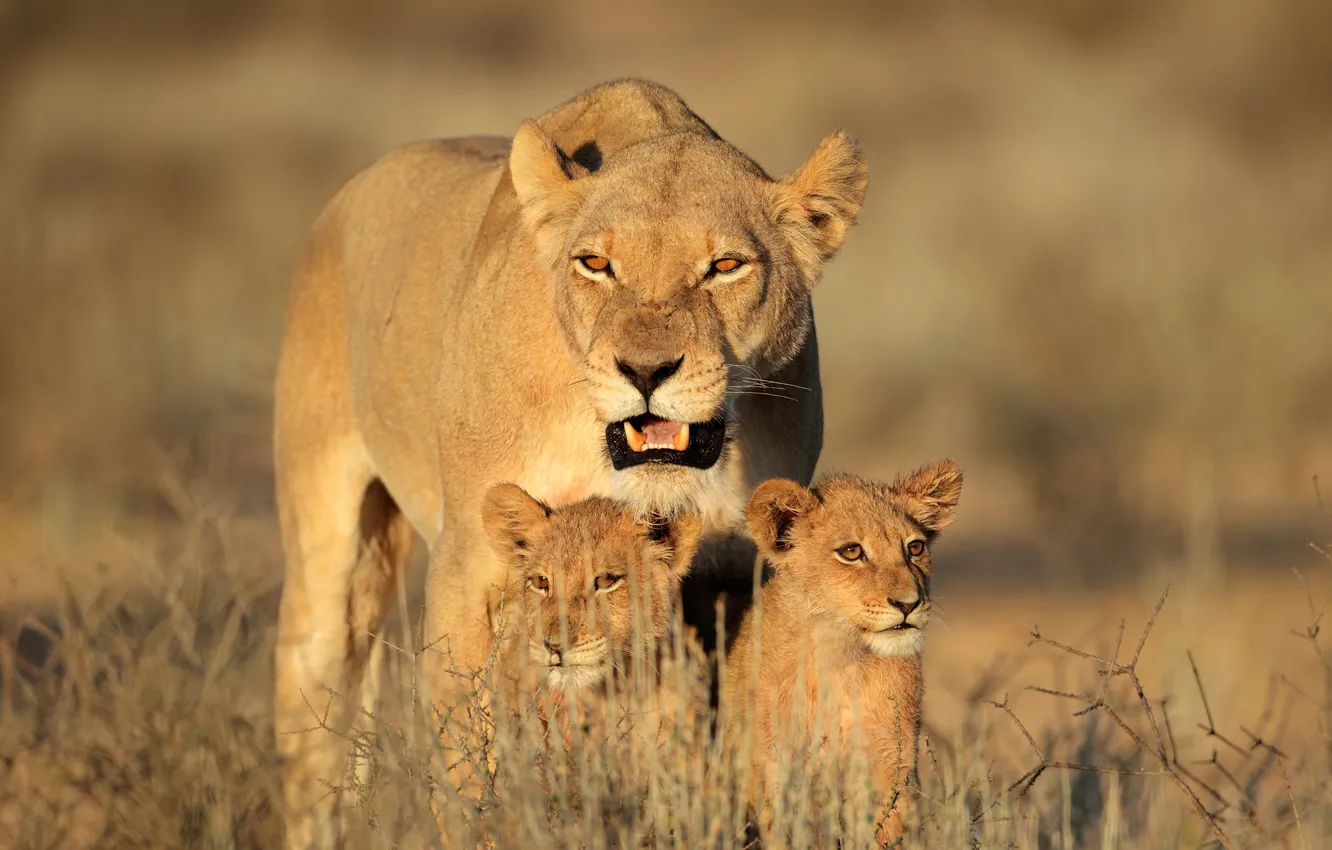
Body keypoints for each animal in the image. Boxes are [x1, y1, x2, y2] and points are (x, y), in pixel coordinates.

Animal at [272, 78, 868, 847]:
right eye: (596, 264)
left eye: (724, 266)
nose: (645, 370)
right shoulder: (470, 566)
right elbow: (467, 755)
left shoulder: (735, 580)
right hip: (328, 555)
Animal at [724, 460, 963, 846]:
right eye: (851, 552)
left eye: (915, 548)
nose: (909, 604)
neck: (842, 657)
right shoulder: (780, 766)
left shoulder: (891, 764)